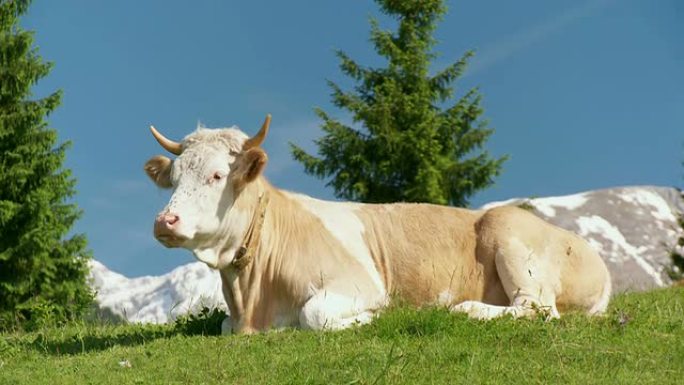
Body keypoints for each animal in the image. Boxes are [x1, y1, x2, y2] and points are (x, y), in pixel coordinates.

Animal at [146, 114, 616, 332]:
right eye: (175, 177)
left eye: (216, 176)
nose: (165, 220)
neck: (252, 301)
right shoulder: (234, 320)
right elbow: (223, 324)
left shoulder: (359, 286)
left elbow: (316, 315)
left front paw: (375, 318)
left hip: (513, 239)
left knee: (538, 309)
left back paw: (464, 308)